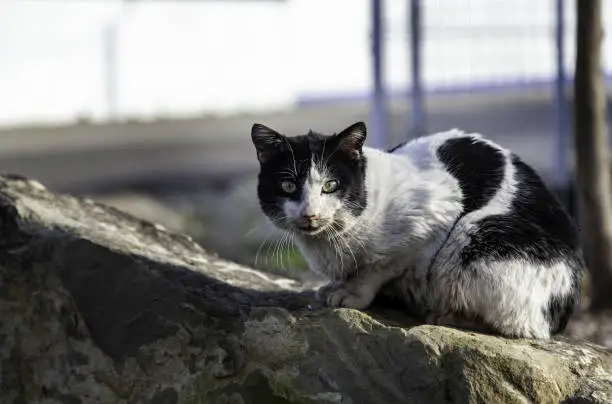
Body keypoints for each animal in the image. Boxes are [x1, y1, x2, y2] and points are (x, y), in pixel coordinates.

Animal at [250, 121, 584, 340]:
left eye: (330, 185)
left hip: (474, 239)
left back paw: (446, 315)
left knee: (519, 325)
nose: (310, 214)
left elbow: (377, 267)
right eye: (288, 186)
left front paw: (351, 293)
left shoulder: (431, 221)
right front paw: (336, 287)